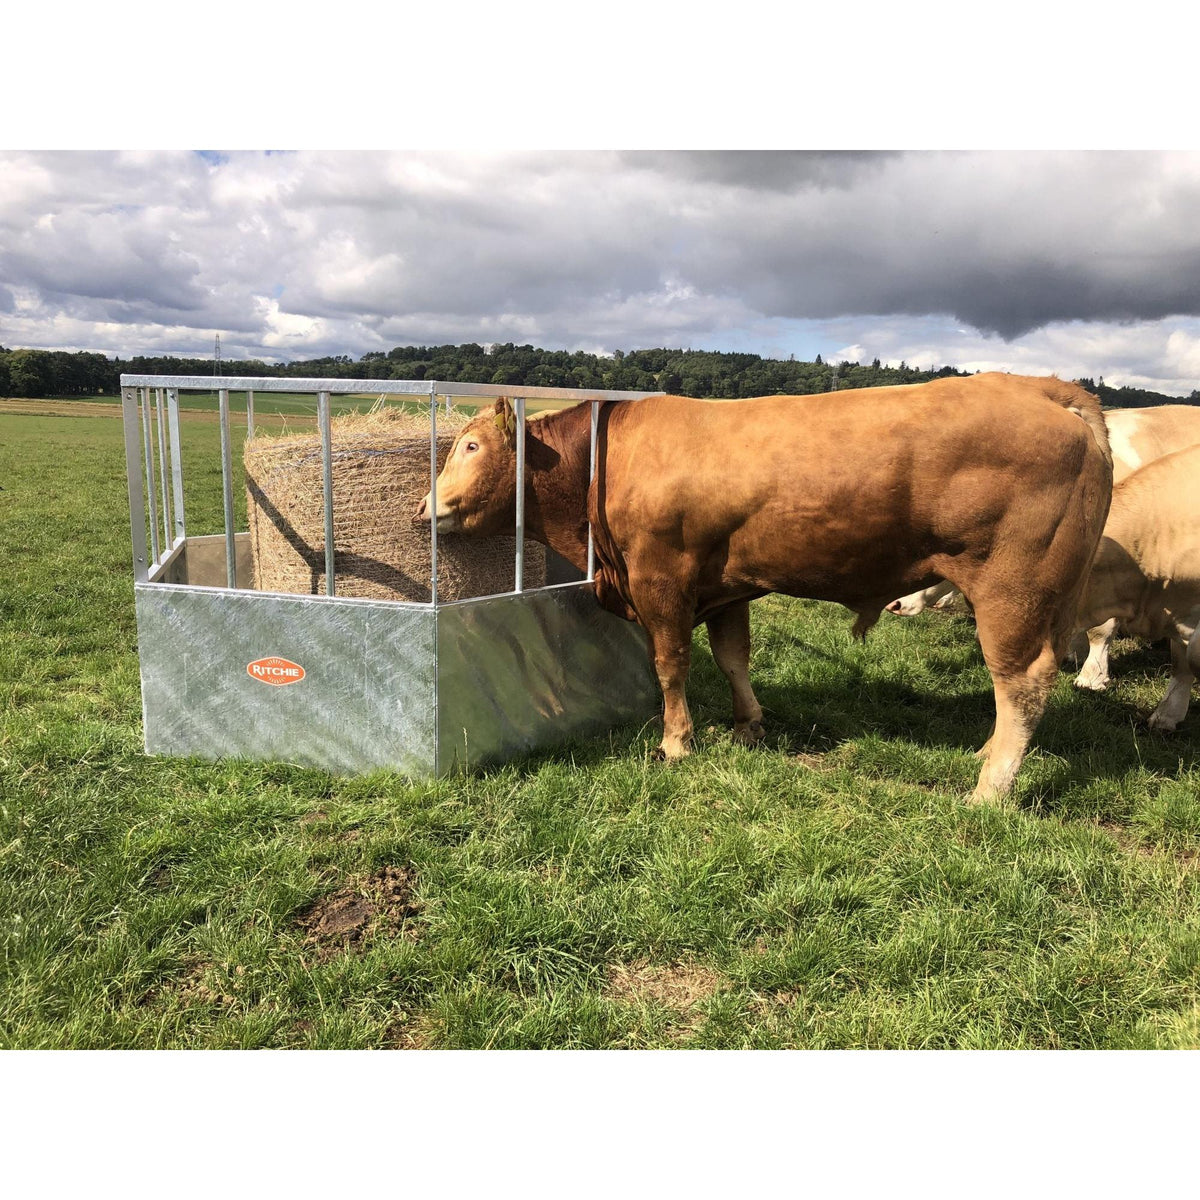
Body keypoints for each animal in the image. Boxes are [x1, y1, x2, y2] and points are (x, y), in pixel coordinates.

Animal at [415, 374, 1112, 804]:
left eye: (469, 445)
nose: (425, 507)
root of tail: (1041, 388)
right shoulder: (726, 587)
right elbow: (733, 658)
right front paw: (748, 726)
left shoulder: (660, 579)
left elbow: (671, 664)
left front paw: (677, 742)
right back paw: (984, 755)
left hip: (1011, 590)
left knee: (1021, 682)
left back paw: (990, 787)